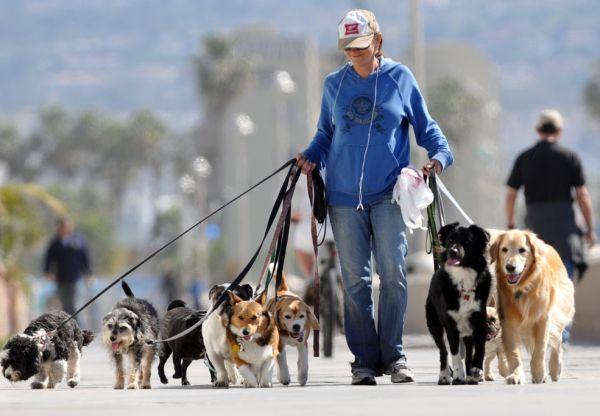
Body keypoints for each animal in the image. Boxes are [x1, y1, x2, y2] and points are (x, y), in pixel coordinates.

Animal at [424, 223, 490, 386]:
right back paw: (444, 376)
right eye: (450, 240)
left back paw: (471, 375)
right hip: (434, 324)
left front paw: (476, 370)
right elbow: (454, 353)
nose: (452, 251)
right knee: (443, 351)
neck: (463, 278)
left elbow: (479, 349)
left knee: (468, 351)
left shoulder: (479, 321)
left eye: (467, 241)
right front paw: (459, 376)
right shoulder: (450, 325)